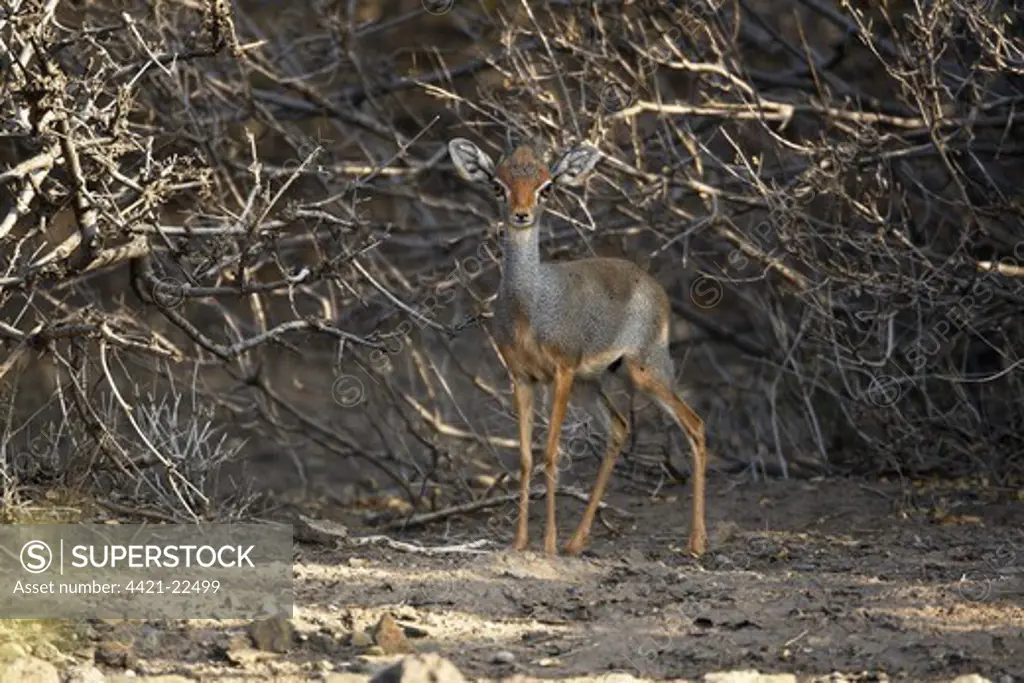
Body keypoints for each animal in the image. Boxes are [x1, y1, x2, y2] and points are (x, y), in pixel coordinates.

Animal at [452, 137, 708, 557]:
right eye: (498, 185)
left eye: (546, 187)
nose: (521, 215)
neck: (530, 308)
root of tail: (652, 284)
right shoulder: (521, 377)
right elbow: (525, 458)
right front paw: (520, 542)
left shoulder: (563, 371)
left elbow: (551, 453)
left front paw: (547, 544)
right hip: (594, 383)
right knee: (620, 428)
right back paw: (577, 540)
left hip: (645, 370)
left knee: (696, 424)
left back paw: (696, 542)